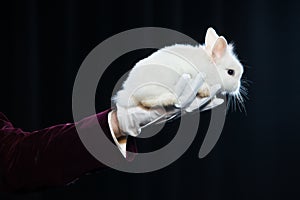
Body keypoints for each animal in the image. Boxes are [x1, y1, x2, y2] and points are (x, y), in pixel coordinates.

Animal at [114, 27, 244, 108]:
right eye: (231, 72)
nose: (236, 88)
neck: (209, 67)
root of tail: (128, 91)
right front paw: (205, 91)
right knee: (146, 102)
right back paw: (169, 100)